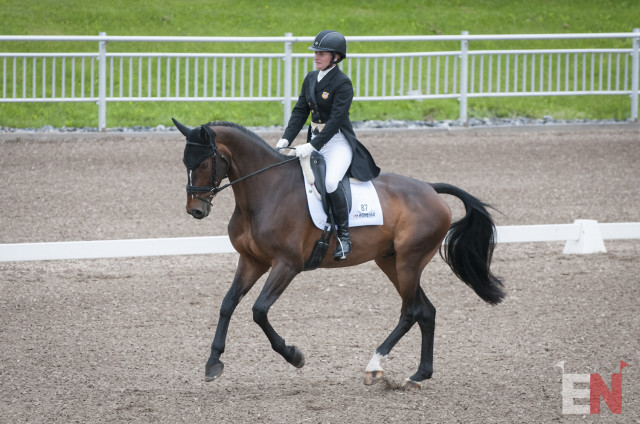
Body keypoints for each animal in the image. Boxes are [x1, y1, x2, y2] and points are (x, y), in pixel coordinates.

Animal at [172, 117, 502, 390]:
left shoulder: (287, 265)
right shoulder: (252, 261)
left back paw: (374, 365)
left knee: (410, 312)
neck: (265, 192)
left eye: (204, 163)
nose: (195, 210)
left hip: (409, 262)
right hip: (391, 261)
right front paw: (213, 363)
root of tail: (431, 189)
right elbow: (227, 304)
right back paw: (419, 374)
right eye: (185, 162)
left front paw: (294, 355)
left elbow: (259, 310)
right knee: (426, 311)